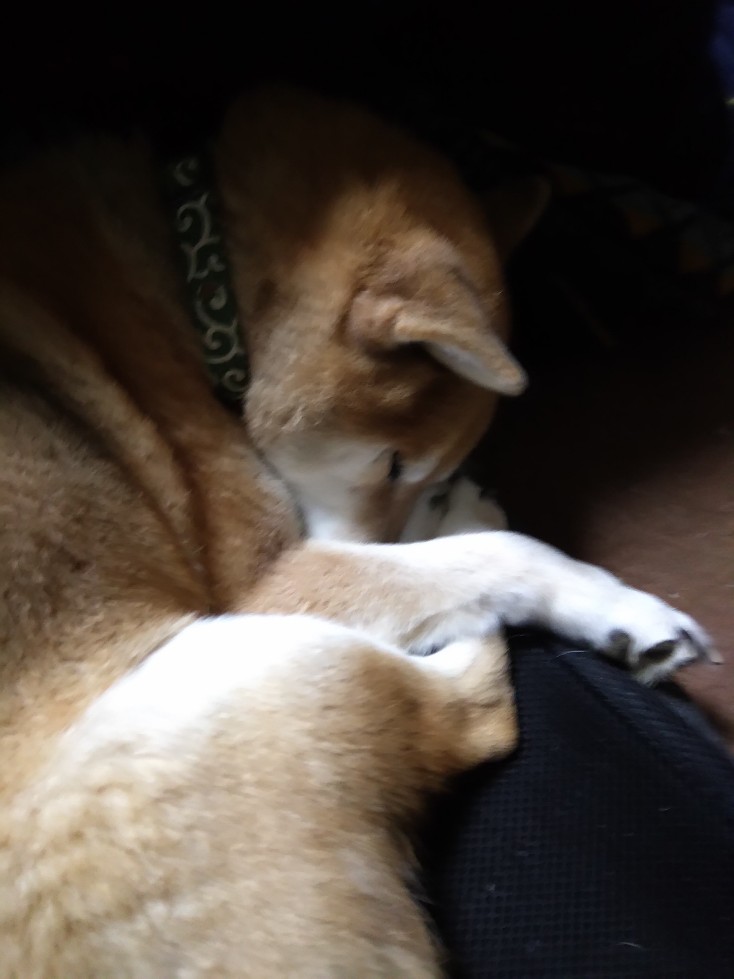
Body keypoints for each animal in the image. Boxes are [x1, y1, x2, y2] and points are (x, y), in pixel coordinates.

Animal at [0, 86, 714, 976]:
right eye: (395, 460)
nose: (401, 524)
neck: (198, 286)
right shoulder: (267, 579)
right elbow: (488, 560)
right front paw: (606, 601)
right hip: (253, 664)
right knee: (471, 713)